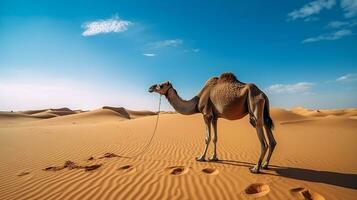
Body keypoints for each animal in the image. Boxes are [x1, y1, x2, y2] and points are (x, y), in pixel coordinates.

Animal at [147, 72, 276, 173]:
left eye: (161, 85)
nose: (150, 88)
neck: (197, 101)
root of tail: (263, 94)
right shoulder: (215, 117)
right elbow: (215, 138)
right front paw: (214, 158)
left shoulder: (206, 114)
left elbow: (207, 138)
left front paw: (201, 157)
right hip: (264, 111)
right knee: (271, 137)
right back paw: (265, 165)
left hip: (254, 105)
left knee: (262, 140)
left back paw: (255, 168)